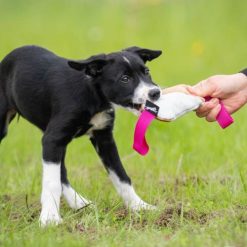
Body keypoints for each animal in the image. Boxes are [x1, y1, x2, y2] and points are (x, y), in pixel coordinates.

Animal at [0, 45, 162, 226]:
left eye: (146, 71)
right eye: (125, 79)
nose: (156, 92)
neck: (93, 94)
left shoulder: (103, 138)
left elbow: (121, 175)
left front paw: (139, 206)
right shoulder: (53, 138)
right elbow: (51, 181)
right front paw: (49, 217)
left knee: (62, 172)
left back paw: (79, 202)